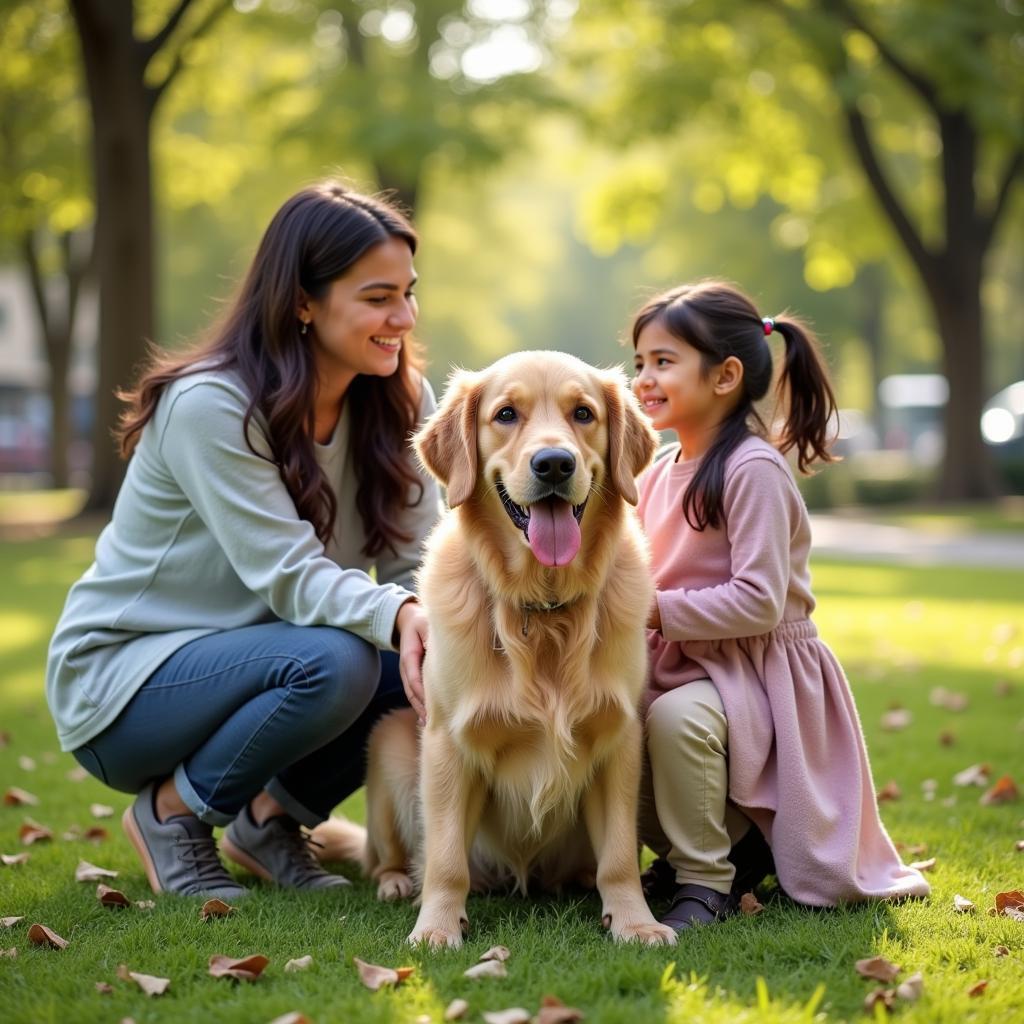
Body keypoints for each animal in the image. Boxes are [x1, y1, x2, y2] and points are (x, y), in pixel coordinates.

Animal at [315, 350, 675, 942]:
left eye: (583, 413)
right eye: (506, 414)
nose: (554, 464)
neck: (543, 607)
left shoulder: (619, 738)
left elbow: (620, 855)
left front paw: (634, 922)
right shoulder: (446, 742)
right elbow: (445, 860)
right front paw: (437, 928)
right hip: (388, 745)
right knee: (390, 857)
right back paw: (398, 883)